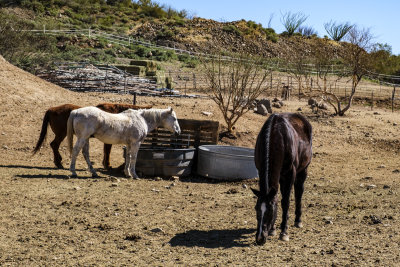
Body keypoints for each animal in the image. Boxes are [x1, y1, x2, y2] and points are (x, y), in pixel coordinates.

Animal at [250, 113, 312, 245]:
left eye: (270, 210)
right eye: (256, 209)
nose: (260, 238)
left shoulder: (290, 174)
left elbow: (285, 202)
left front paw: (284, 232)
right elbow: (277, 198)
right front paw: (273, 229)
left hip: (303, 171)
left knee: (299, 192)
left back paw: (297, 220)